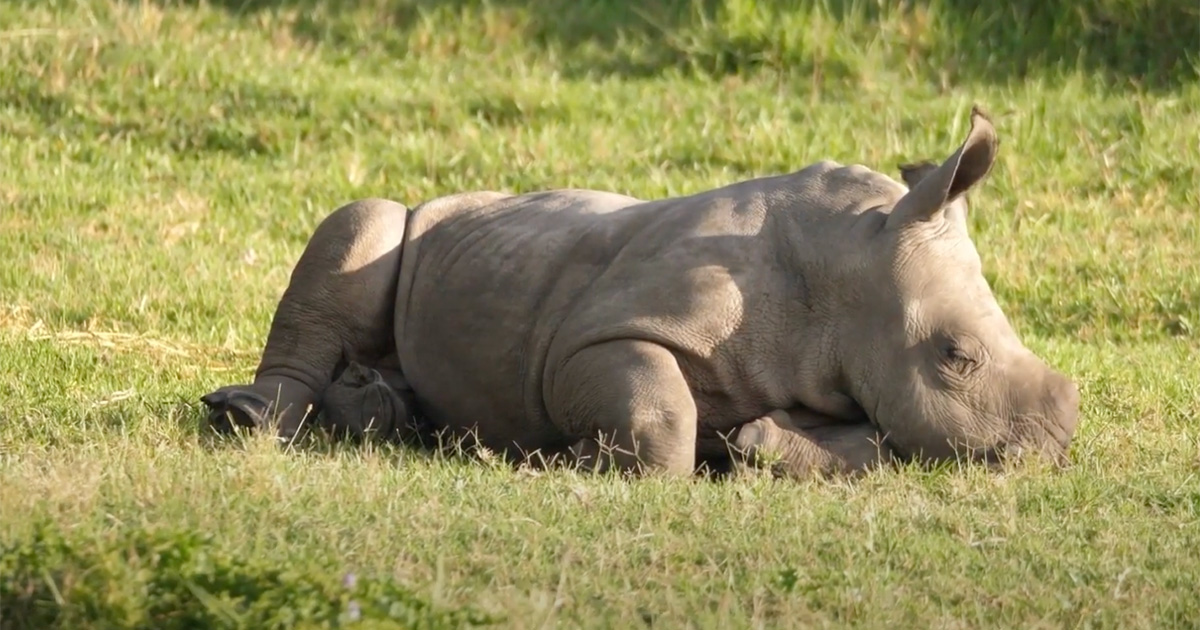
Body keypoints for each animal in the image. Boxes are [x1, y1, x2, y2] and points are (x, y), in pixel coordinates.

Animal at [201, 106, 1080, 478]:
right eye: (956, 356)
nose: (1054, 450)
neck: (840, 273)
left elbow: (872, 444)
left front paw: (755, 445)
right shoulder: (599, 334)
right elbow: (661, 413)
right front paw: (564, 460)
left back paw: (392, 417)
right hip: (411, 222)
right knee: (365, 221)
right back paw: (247, 417)